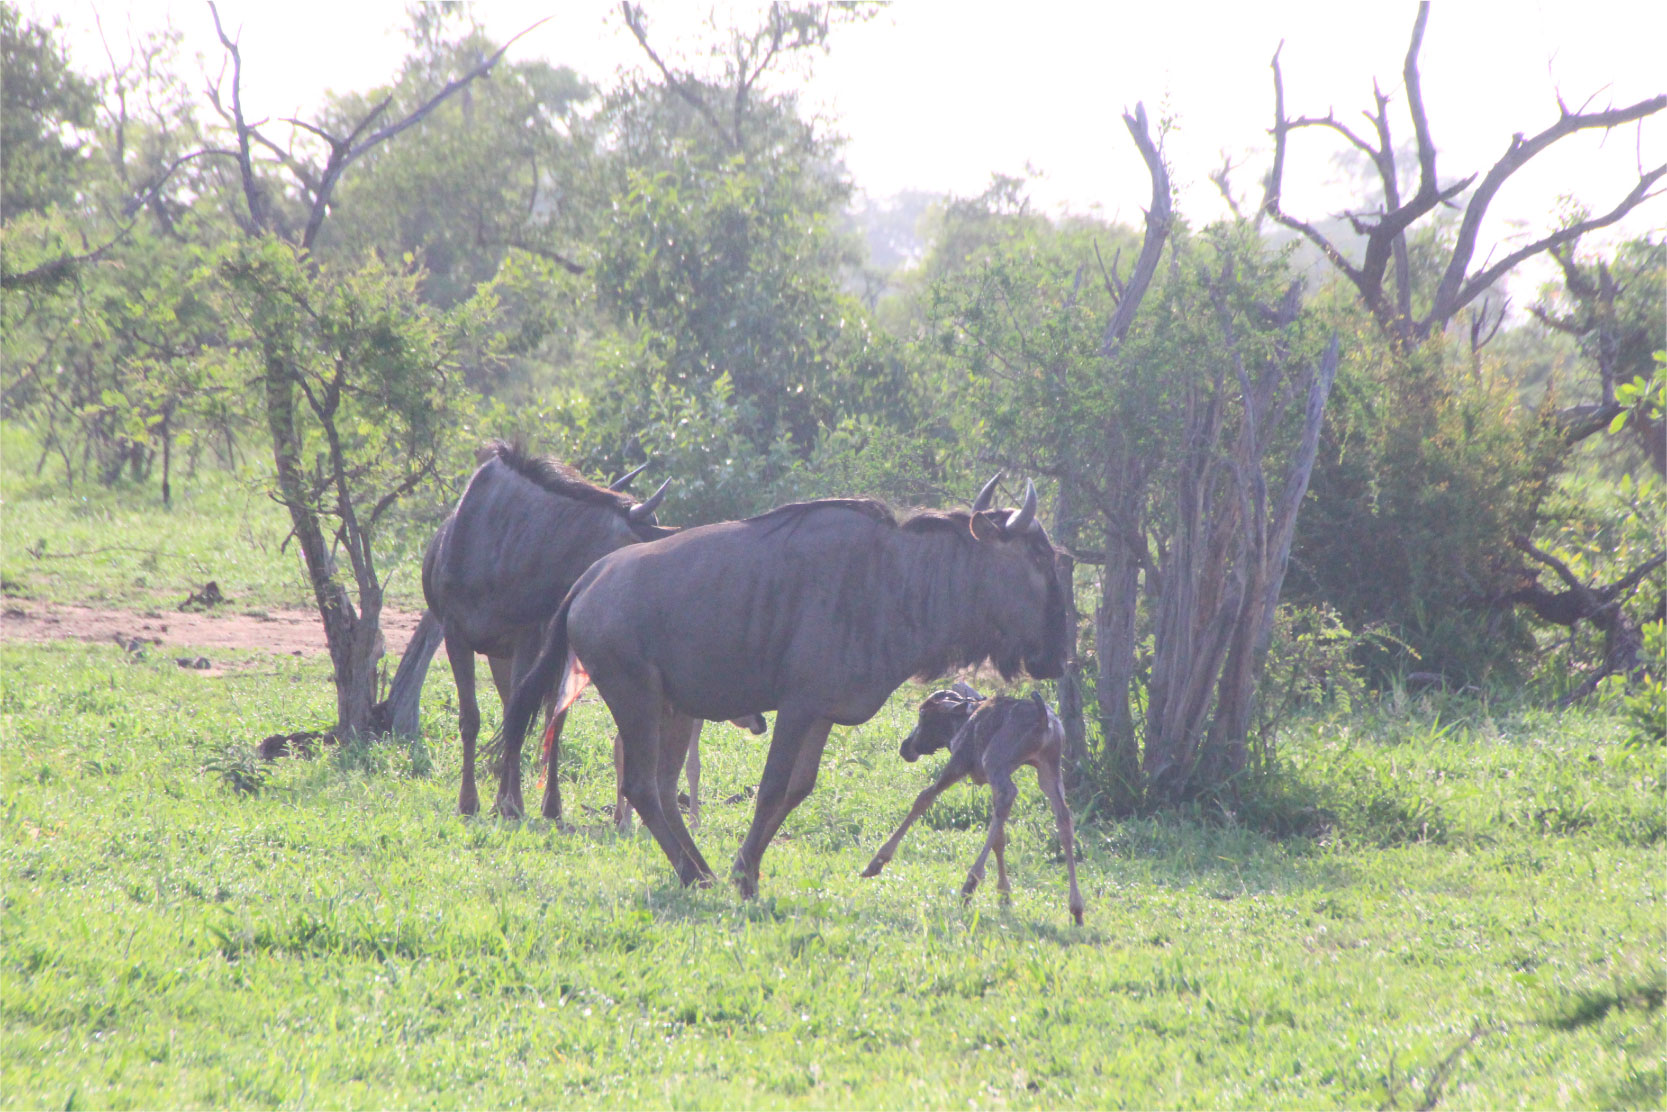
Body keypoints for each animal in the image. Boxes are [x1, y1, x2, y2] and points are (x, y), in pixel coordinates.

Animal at [866, 683, 1086, 926]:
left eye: (923, 714)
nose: (905, 747)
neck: (957, 726)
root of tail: (1044, 720)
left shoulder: (960, 763)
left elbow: (923, 798)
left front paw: (877, 860)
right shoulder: (990, 779)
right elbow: (999, 838)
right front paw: (1004, 893)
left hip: (995, 760)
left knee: (1010, 794)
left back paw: (970, 883)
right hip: (1048, 766)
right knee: (1063, 818)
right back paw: (1076, 907)